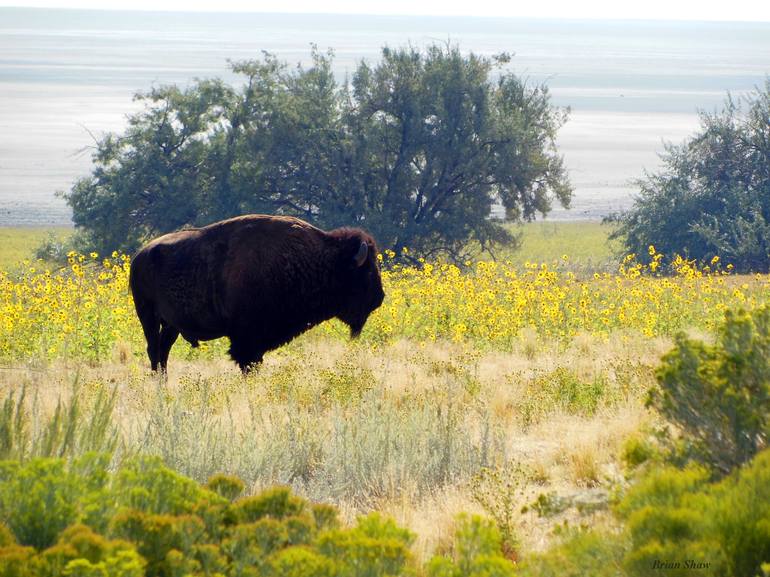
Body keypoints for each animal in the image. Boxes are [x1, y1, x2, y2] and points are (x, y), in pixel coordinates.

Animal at [129, 214, 388, 372]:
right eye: (366, 272)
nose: (379, 298)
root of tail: (139, 255)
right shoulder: (246, 340)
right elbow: (248, 362)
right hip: (148, 315)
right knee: (154, 350)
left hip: (171, 324)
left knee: (163, 351)